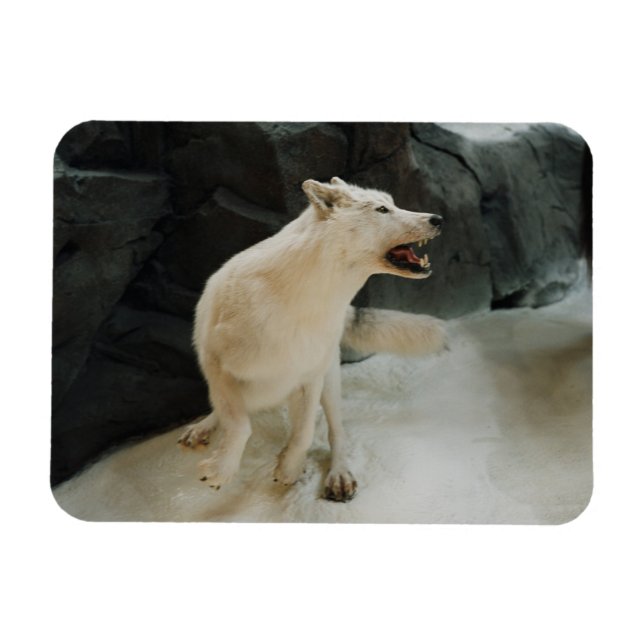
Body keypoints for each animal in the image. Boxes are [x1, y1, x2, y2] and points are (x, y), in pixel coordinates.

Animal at [178, 177, 445, 501]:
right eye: (382, 209)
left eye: (393, 204)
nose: (438, 219)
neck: (304, 306)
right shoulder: (217, 366)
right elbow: (240, 425)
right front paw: (221, 470)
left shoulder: (310, 377)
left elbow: (304, 433)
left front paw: (289, 467)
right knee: (225, 411)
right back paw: (202, 429)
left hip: (330, 381)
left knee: (336, 432)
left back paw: (338, 474)